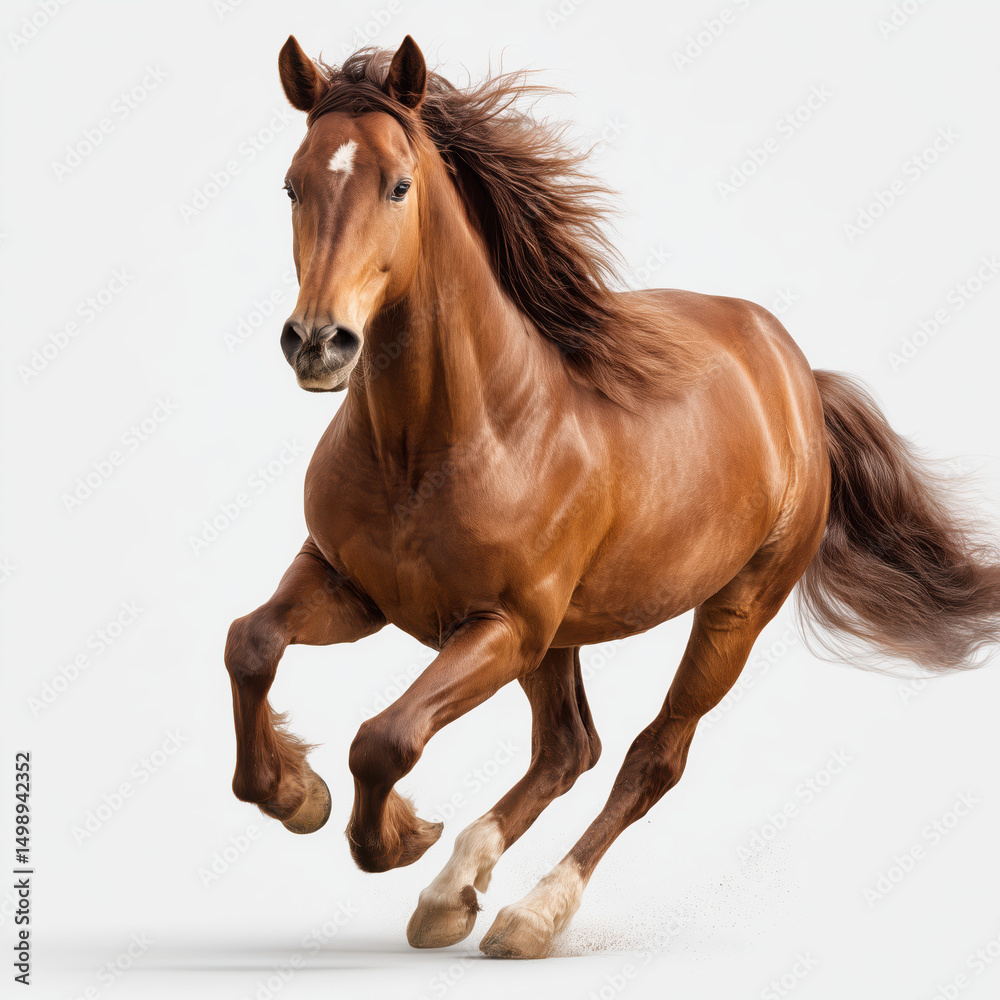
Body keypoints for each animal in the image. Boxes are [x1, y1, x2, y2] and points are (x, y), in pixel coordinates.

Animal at [224, 35, 1000, 959]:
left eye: (398, 185)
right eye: (292, 184)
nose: (318, 343)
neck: (436, 442)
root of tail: (798, 381)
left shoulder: (502, 627)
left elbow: (387, 738)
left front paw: (395, 838)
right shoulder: (354, 587)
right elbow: (250, 644)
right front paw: (295, 793)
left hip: (732, 612)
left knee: (648, 758)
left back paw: (525, 913)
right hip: (566, 635)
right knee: (569, 748)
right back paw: (454, 891)